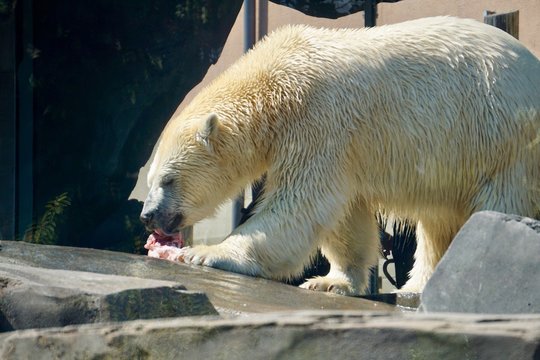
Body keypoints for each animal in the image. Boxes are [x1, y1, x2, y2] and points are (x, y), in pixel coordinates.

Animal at [142, 16, 540, 296]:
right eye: (150, 179)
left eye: (169, 179)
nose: (147, 215)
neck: (275, 81)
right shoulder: (341, 145)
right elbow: (345, 215)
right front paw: (332, 281)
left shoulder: (320, 120)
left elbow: (302, 201)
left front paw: (206, 253)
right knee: (438, 220)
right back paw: (418, 286)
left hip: (501, 138)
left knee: (496, 206)